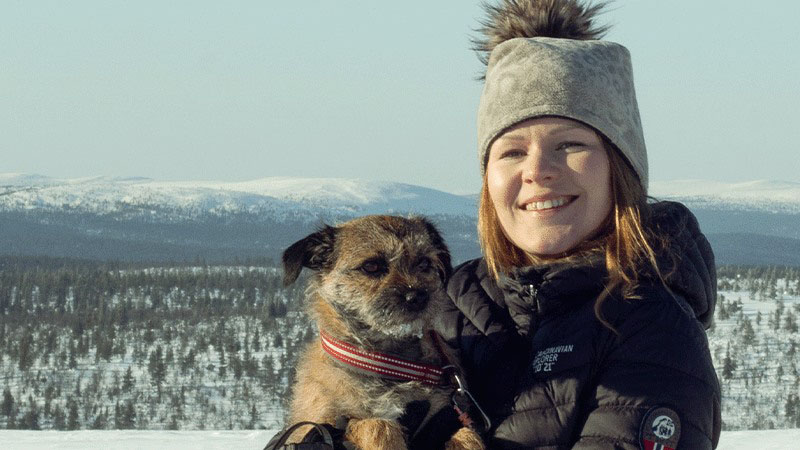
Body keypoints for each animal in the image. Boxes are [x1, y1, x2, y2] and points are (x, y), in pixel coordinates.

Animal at [282, 215, 482, 450]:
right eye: (371, 266)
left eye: (424, 263)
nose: (417, 296)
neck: (390, 364)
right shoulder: (322, 422)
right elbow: (377, 425)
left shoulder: (446, 415)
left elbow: (468, 435)